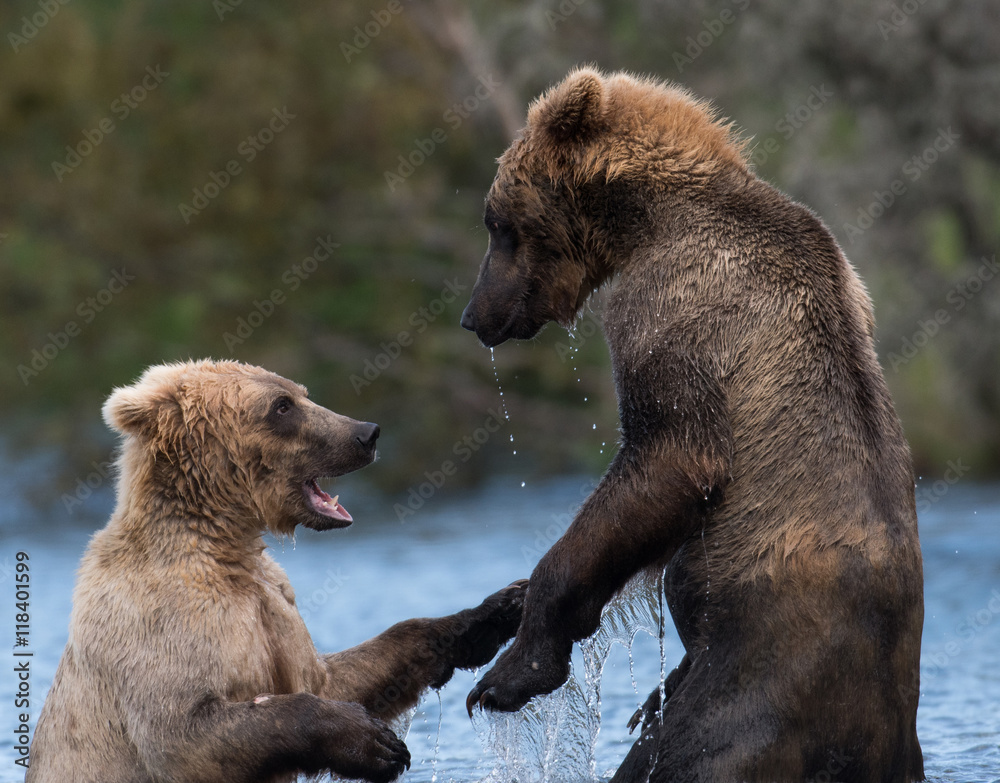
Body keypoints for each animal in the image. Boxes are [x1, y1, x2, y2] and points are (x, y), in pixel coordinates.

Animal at [27, 359, 525, 783]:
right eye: (281, 406)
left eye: (301, 393)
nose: (367, 433)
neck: (226, 544)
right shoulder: (162, 622)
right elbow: (184, 735)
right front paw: (378, 743)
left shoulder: (273, 601)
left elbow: (334, 676)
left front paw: (498, 609)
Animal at [460, 68, 925, 783]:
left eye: (496, 223)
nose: (475, 314)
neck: (644, 219)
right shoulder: (849, 280)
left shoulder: (668, 309)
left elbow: (670, 461)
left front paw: (508, 672)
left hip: (757, 688)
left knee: (684, 753)